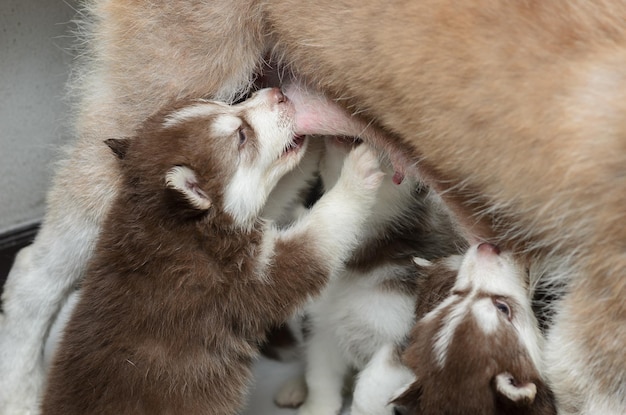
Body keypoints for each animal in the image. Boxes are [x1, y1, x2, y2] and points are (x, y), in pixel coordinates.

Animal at [39, 88, 382, 415]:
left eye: (226, 103)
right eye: (241, 135)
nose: (279, 93)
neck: (174, 225)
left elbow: (281, 191)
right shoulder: (251, 276)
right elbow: (323, 226)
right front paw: (356, 172)